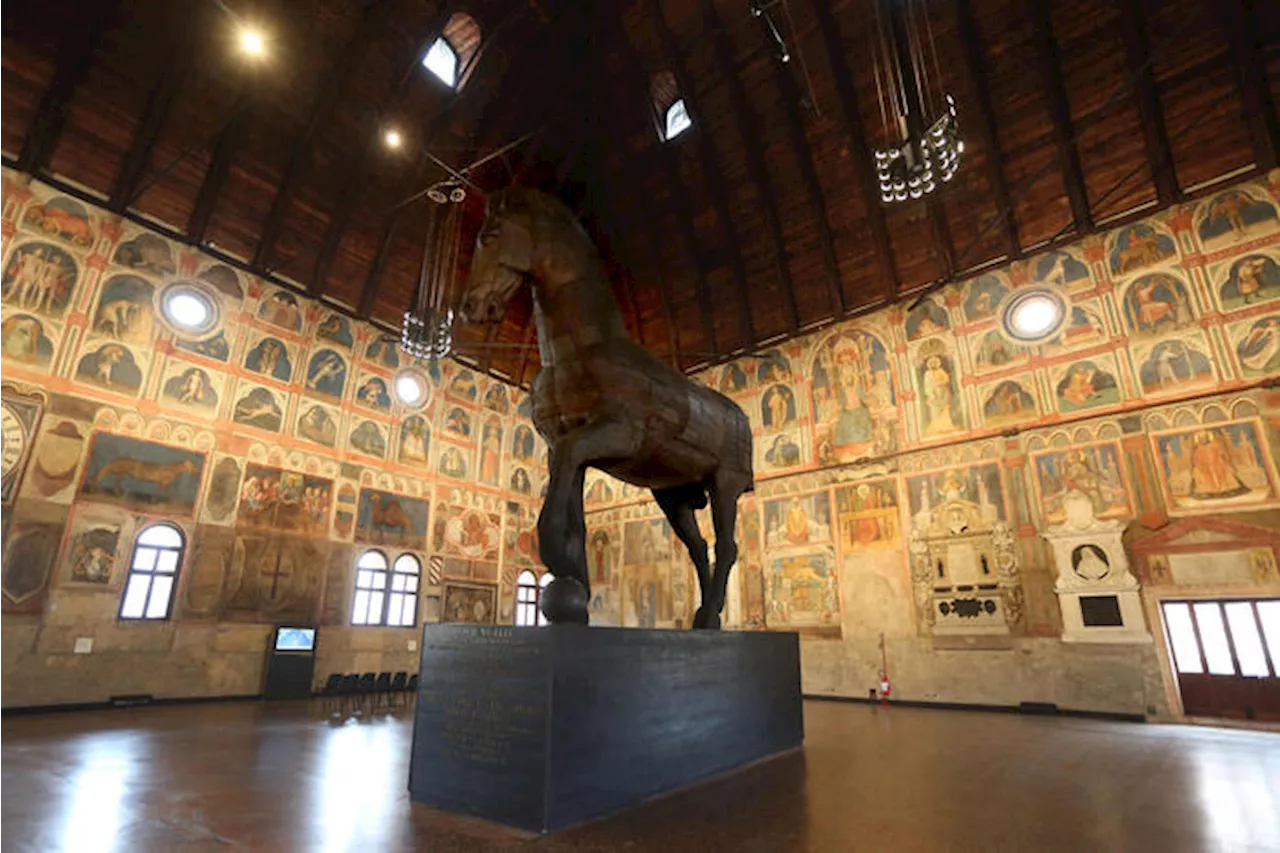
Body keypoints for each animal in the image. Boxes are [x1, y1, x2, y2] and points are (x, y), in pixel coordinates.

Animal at [465, 188, 752, 625]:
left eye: (489, 235)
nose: (470, 306)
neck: (577, 351)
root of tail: (739, 415)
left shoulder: (615, 435)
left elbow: (567, 485)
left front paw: (556, 554)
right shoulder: (563, 447)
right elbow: (576, 514)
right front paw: (573, 589)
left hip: (726, 484)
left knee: (726, 546)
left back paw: (708, 617)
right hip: (672, 497)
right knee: (699, 547)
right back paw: (705, 614)